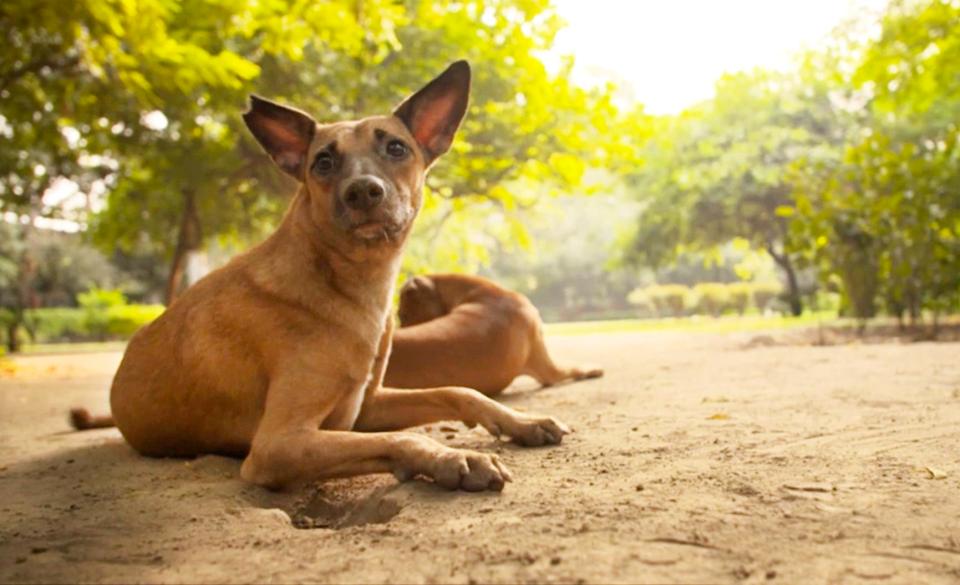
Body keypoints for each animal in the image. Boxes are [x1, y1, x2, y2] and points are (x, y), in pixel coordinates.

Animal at [77, 62, 568, 492]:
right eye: (323, 162)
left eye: (396, 148)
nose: (364, 191)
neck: (344, 283)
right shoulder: (279, 445)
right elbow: (403, 437)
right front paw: (453, 457)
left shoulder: (367, 406)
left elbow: (459, 390)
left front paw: (520, 422)